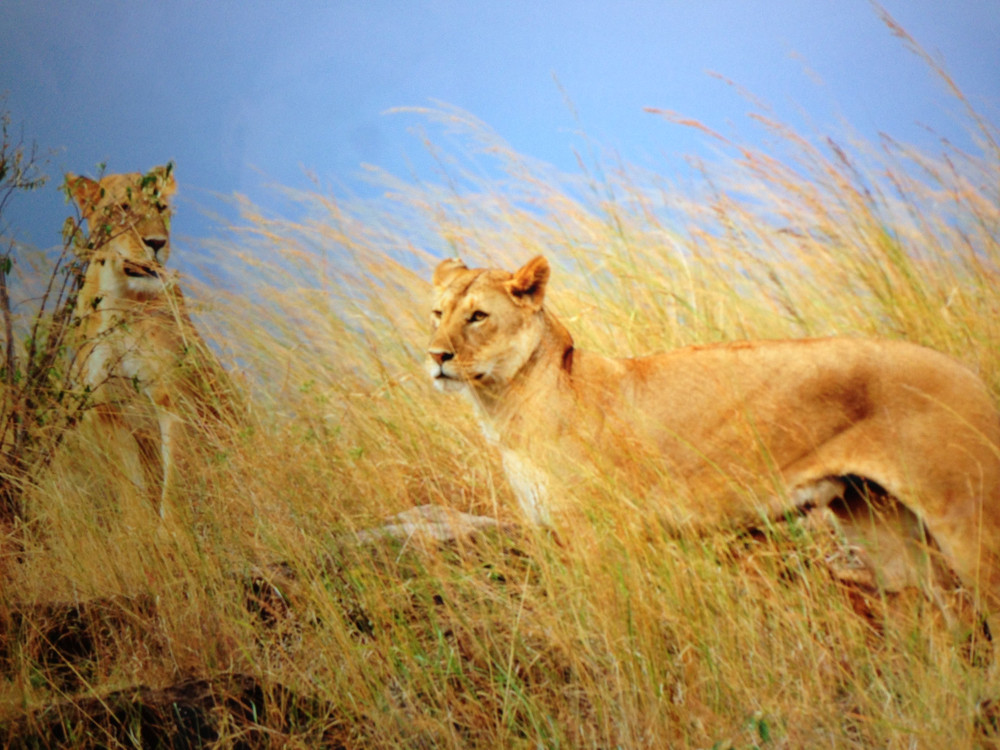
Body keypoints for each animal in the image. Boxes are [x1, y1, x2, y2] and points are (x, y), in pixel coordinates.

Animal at [67, 170, 240, 520]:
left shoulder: (172, 398)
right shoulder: (107, 409)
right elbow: (130, 486)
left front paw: (170, 530)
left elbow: (174, 483)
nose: (158, 243)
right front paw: (138, 529)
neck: (120, 298)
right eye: (123, 207)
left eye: (161, 207)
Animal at [426, 256, 1000, 632]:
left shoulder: (599, 539)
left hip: (966, 515)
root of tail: (965, 372)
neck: (504, 402)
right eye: (438, 313)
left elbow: (616, 629)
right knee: (941, 610)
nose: (435, 356)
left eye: (477, 316)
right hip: (878, 524)